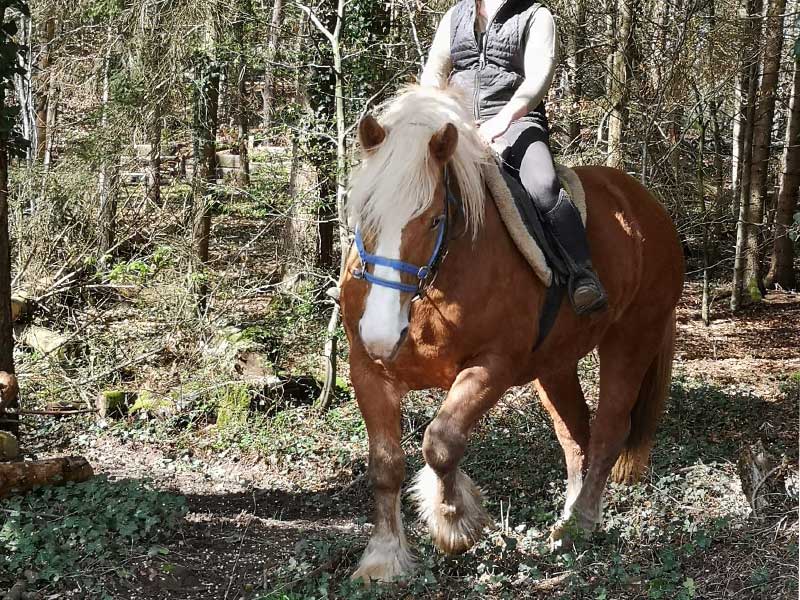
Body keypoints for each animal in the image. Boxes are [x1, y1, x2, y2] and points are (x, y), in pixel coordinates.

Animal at [340, 86, 684, 584]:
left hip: (633, 337)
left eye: (432, 219)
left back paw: (580, 525)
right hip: (555, 365)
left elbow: (441, 443)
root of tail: (649, 207)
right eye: (365, 214)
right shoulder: (368, 369)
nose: (382, 332)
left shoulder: (492, 366)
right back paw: (568, 516)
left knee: (608, 430)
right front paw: (383, 558)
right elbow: (385, 465)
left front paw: (455, 523)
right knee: (574, 433)